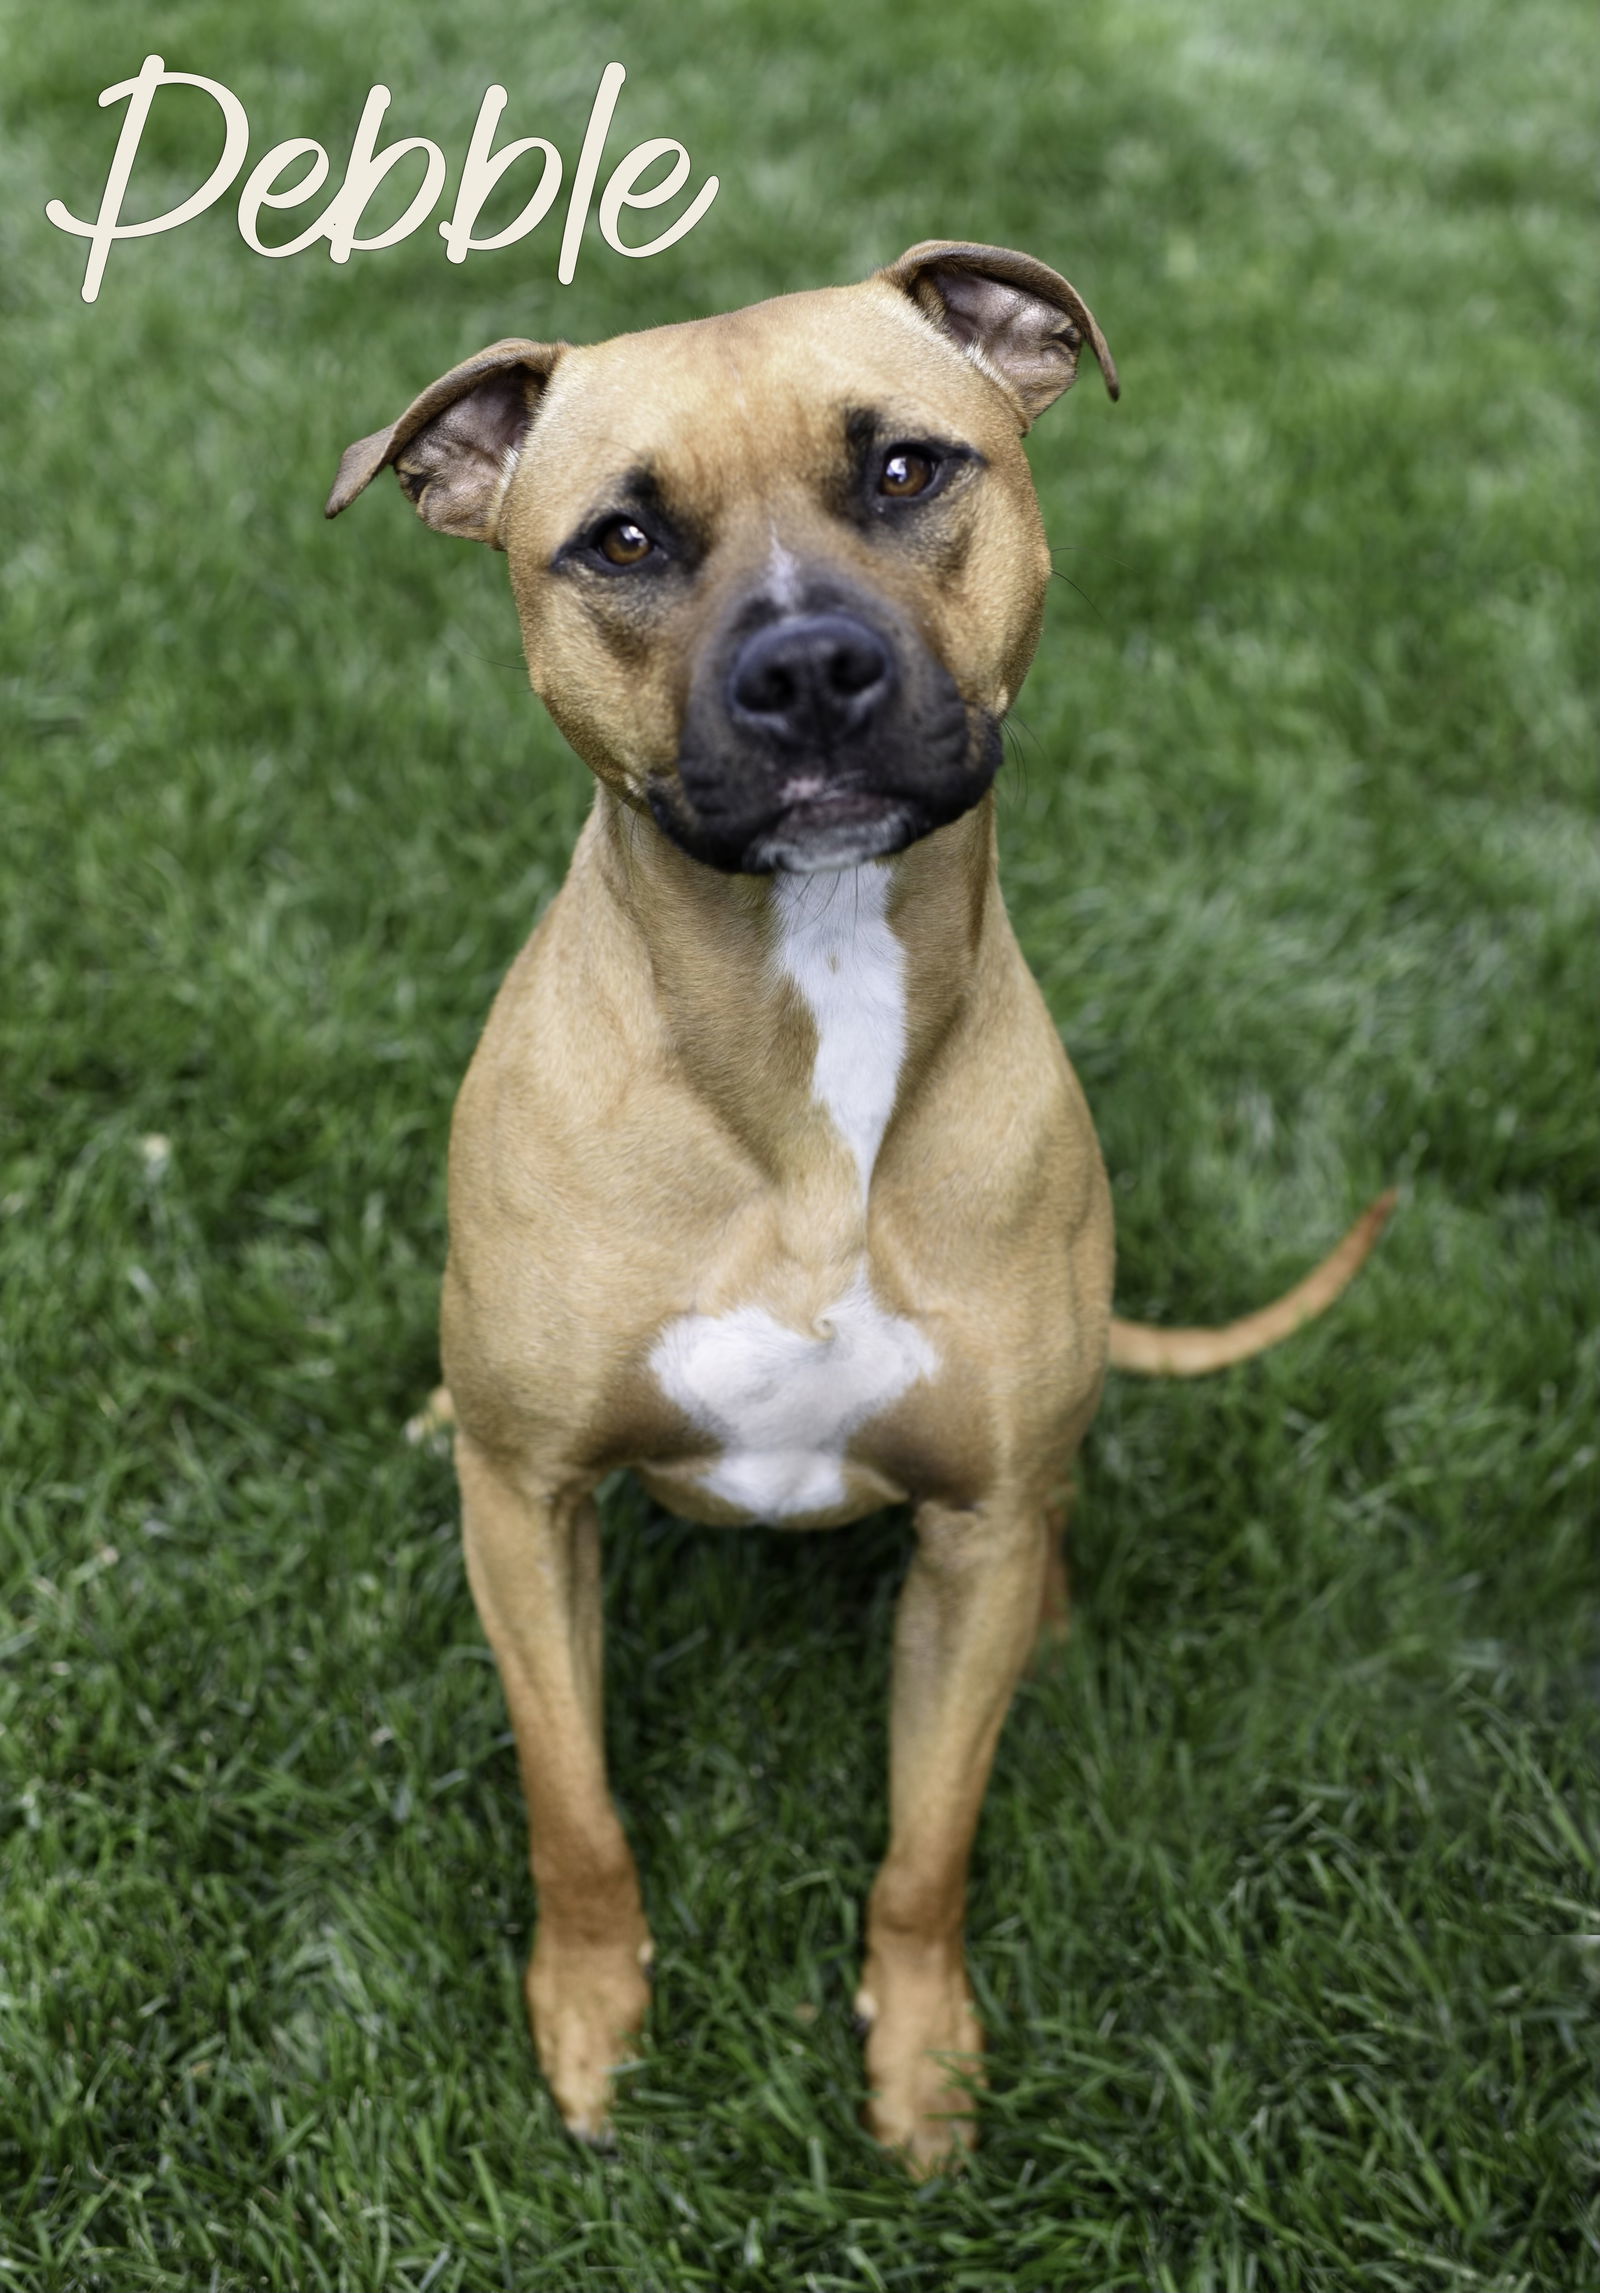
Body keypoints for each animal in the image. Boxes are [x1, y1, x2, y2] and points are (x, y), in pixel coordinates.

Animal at [327, 241, 1384, 2173]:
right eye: (620, 539)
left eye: (905, 467)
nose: (809, 666)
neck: (812, 1027)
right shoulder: (527, 1512)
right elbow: (574, 1803)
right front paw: (589, 2021)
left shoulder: (962, 1551)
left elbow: (926, 1845)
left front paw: (923, 2058)